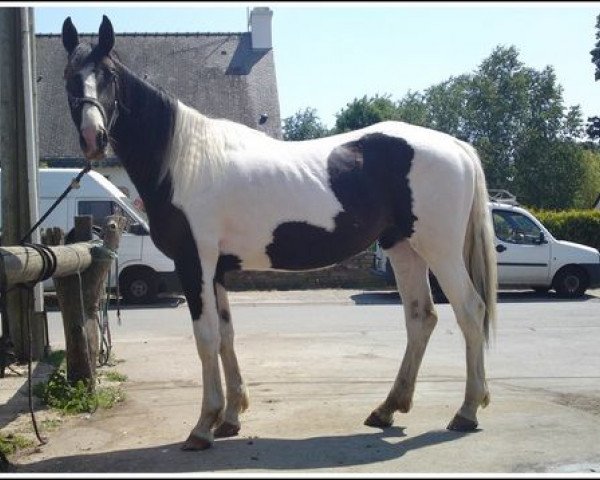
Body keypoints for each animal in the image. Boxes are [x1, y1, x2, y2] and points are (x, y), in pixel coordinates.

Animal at [62, 15, 496, 450]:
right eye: (69, 77)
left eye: (109, 75)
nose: (93, 138)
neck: (185, 161)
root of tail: (456, 146)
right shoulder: (216, 269)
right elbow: (226, 334)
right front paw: (231, 417)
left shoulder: (195, 263)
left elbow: (206, 337)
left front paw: (203, 425)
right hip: (404, 249)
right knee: (421, 318)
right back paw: (388, 408)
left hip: (439, 251)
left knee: (470, 310)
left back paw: (467, 411)